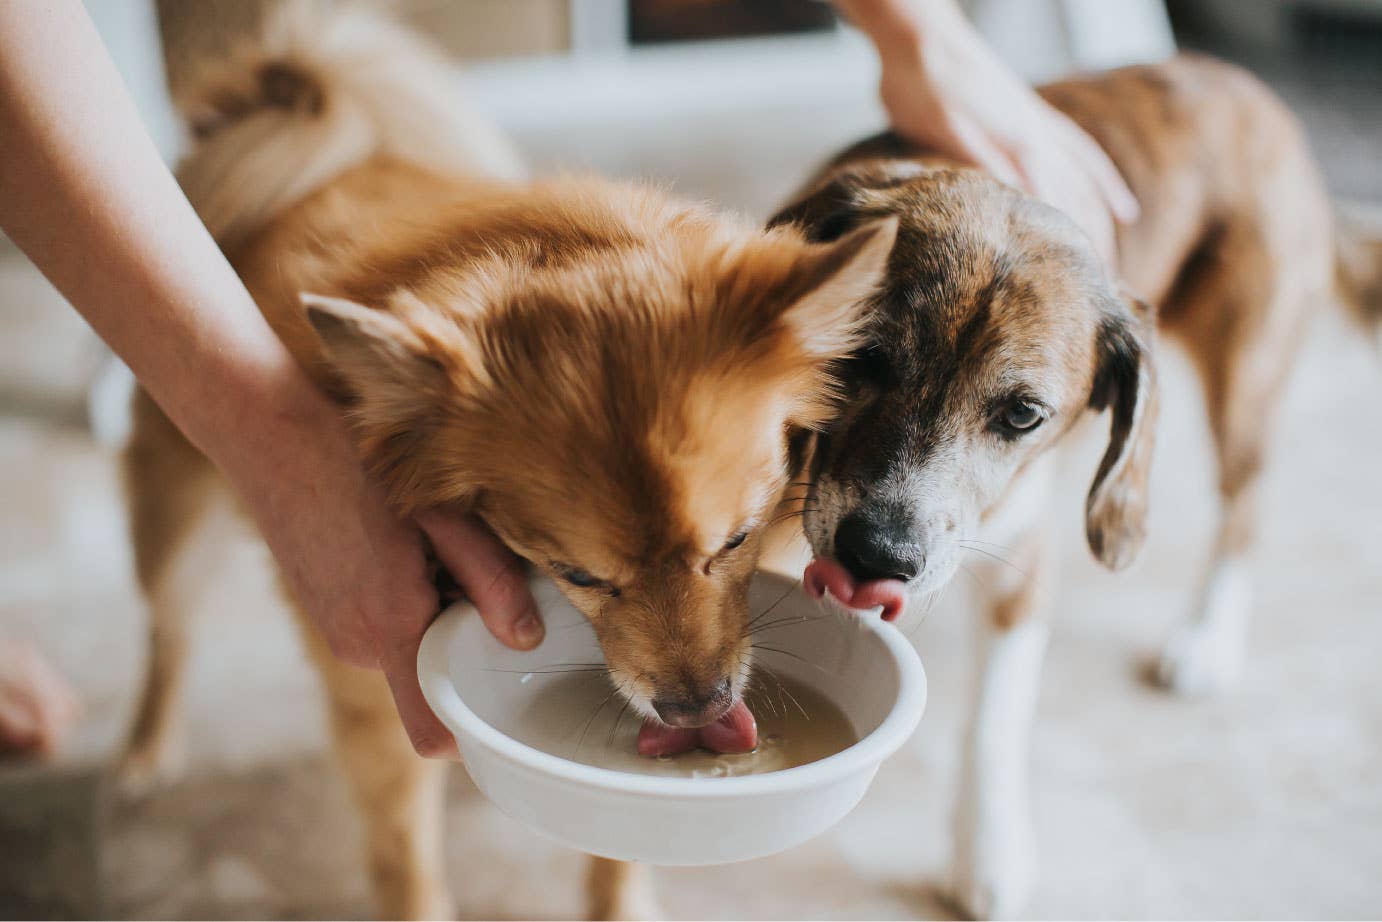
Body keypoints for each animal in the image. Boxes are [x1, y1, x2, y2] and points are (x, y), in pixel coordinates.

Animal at [121, 3, 895, 917]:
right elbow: (405, 863)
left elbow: (618, 847)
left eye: (736, 542)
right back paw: (144, 747)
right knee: (167, 629)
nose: (694, 707)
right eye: (580, 576)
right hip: (176, 522)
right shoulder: (377, 693)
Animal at [773, 54, 1376, 917]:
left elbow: (993, 721)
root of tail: (1244, 85)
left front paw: (988, 852)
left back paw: (1207, 639)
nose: (877, 556)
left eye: (1022, 414)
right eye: (860, 356)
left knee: (1246, 506)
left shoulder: (1023, 563)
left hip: (1246, 383)